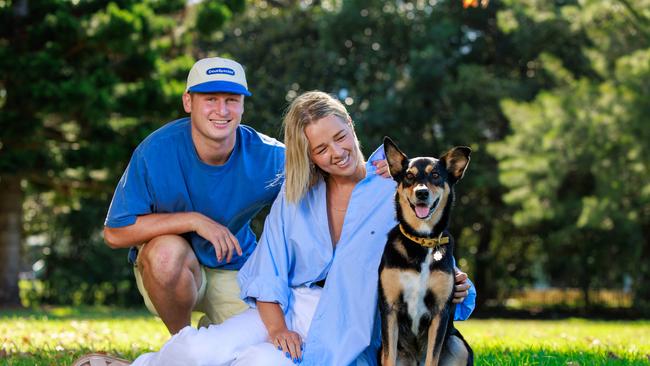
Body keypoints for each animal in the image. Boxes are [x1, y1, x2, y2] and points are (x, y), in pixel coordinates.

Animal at [374, 138, 470, 366]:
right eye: (409, 176)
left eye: (435, 175)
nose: (422, 193)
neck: (422, 240)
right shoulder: (389, 309)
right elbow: (389, 357)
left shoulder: (440, 312)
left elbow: (432, 357)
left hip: (458, 344)